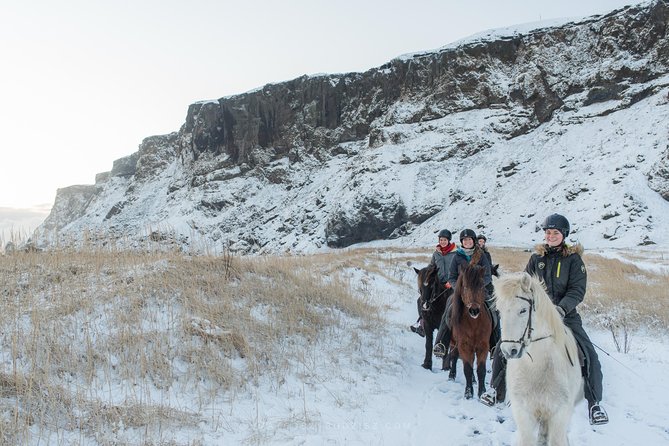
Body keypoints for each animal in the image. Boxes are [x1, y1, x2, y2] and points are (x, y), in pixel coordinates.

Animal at [446, 264, 494, 400]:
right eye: (465, 287)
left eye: (482, 286)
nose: (474, 310)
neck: (473, 324)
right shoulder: (464, 345)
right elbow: (467, 368)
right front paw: (468, 393)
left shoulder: (483, 346)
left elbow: (481, 370)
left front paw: (482, 392)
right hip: (453, 342)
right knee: (454, 356)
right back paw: (451, 376)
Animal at [494, 272, 580, 446]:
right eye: (499, 311)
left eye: (523, 310)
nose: (508, 351)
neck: (537, 369)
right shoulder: (523, 413)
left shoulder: (559, 416)